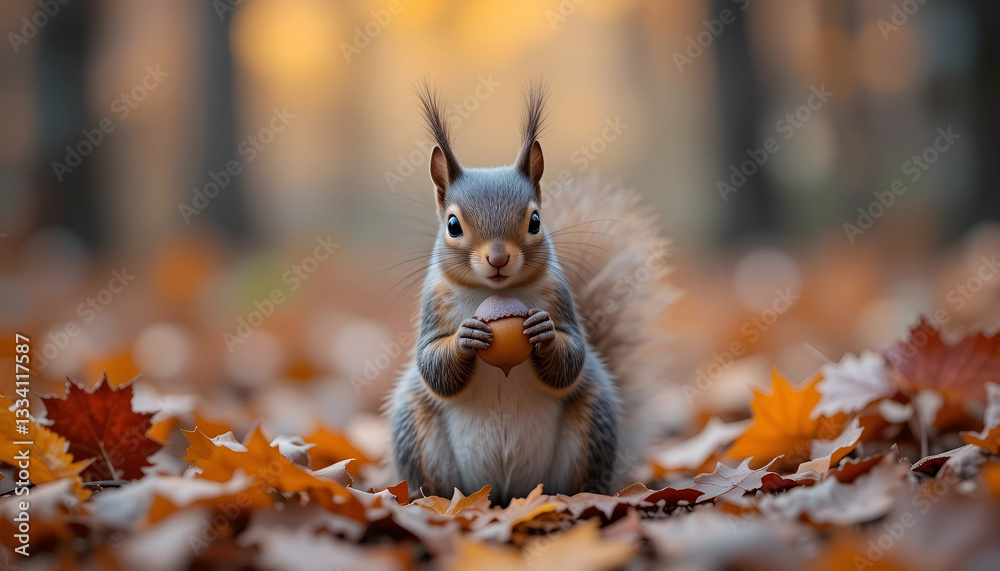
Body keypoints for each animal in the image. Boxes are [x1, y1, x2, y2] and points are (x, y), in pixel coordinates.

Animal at [387, 83, 676, 506]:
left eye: (536, 220)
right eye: (453, 225)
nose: (498, 258)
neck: (496, 292)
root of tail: (507, 492)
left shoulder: (560, 297)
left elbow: (572, 355)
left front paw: (544, 333)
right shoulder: (433, 305)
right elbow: (431, 364)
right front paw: (465, 338)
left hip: (592, 424)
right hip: (417, 431)